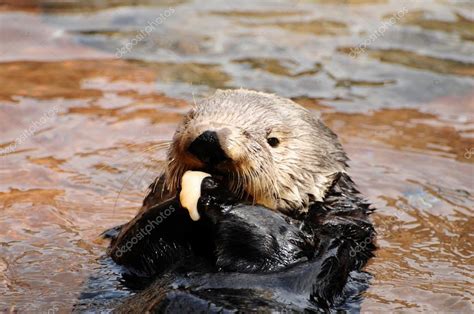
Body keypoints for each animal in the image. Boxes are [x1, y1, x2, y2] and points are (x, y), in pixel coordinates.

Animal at [103, 89, 374, 312]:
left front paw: (219, 197)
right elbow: (128, 249)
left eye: (273, 140)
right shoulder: (132, 261)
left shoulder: (340, 238)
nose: (209, 139)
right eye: (189, 118)